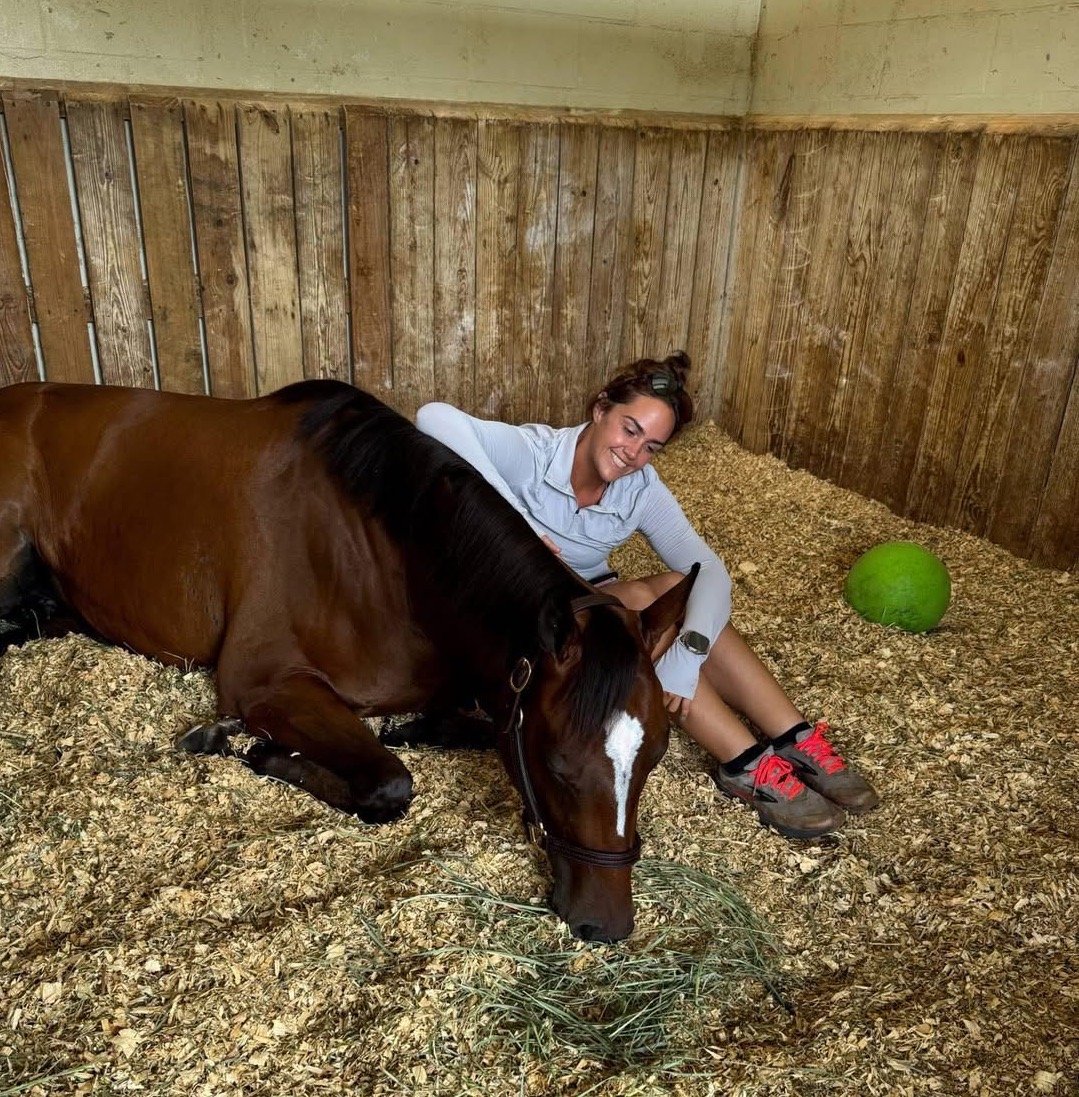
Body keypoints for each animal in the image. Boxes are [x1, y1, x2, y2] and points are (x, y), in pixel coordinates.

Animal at [0, 379, 697, 942]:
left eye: (655, 757)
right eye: (555, 765)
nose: (606, 924)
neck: (383, 562)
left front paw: (414, 727)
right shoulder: (264, 683)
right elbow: (388, 782)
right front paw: (246, 745)